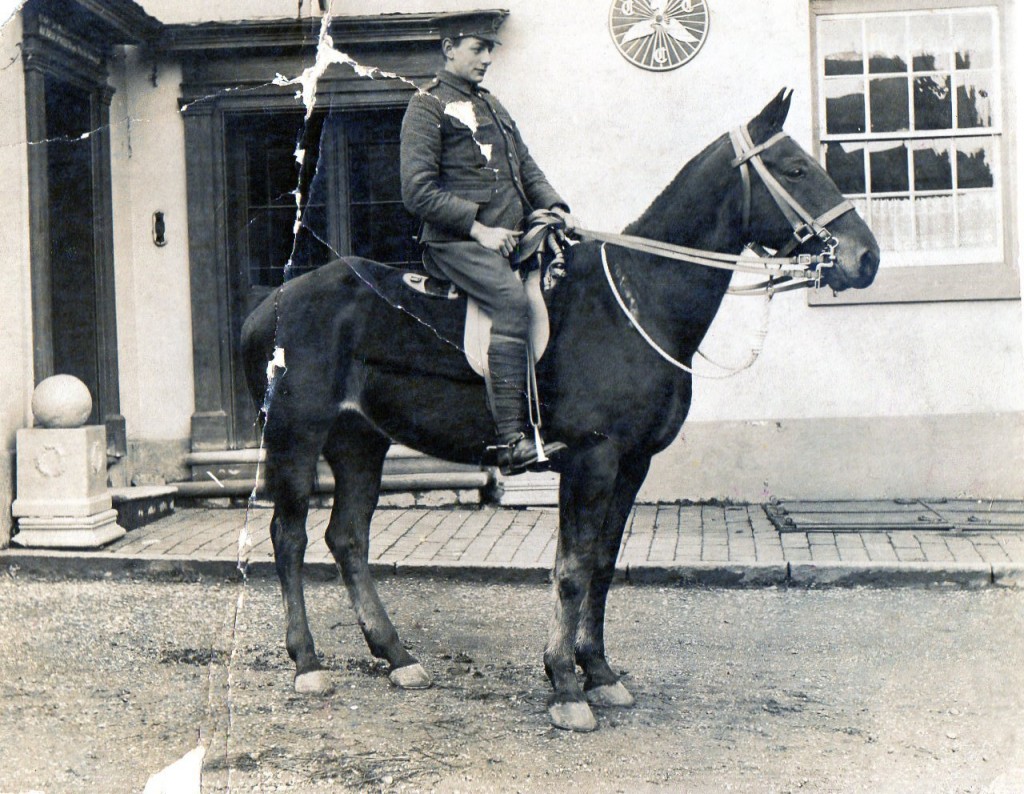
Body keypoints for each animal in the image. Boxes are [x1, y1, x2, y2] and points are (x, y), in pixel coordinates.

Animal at [239, 91, 880, 733]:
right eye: (795, 169)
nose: (866, 258)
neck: (636, 298)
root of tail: (270, 305)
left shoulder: (632, 465)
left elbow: (602, 565)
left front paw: (600, 672)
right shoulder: (591, 460)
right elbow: (572, 570)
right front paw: (566, 684)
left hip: (359, 442)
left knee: (347, 538)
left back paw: (397, 656)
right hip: (296, 439)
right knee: (288, 537)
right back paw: (307, 662)